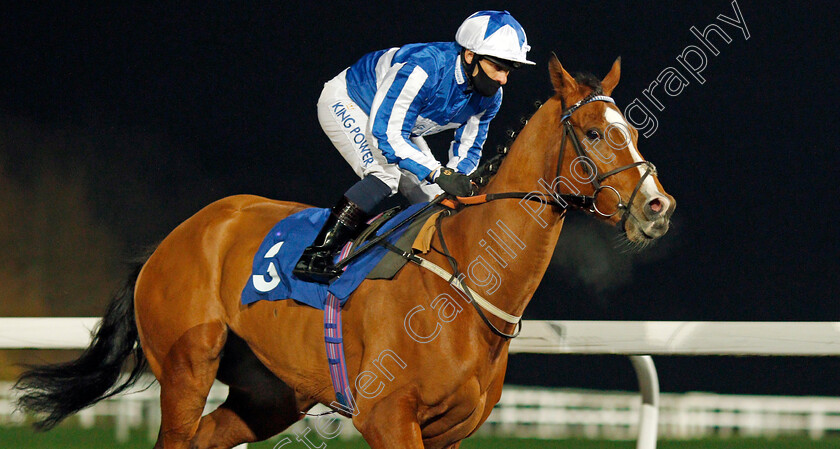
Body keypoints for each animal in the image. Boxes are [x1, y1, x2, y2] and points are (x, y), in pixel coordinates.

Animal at [14, 54, 676, 446]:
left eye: (632, 130)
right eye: (593, 132)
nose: (656, 206)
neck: (465, 281)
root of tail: (171, 240)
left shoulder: (450, 430)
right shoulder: (386, 416)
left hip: (269, 392)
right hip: (186, 368)